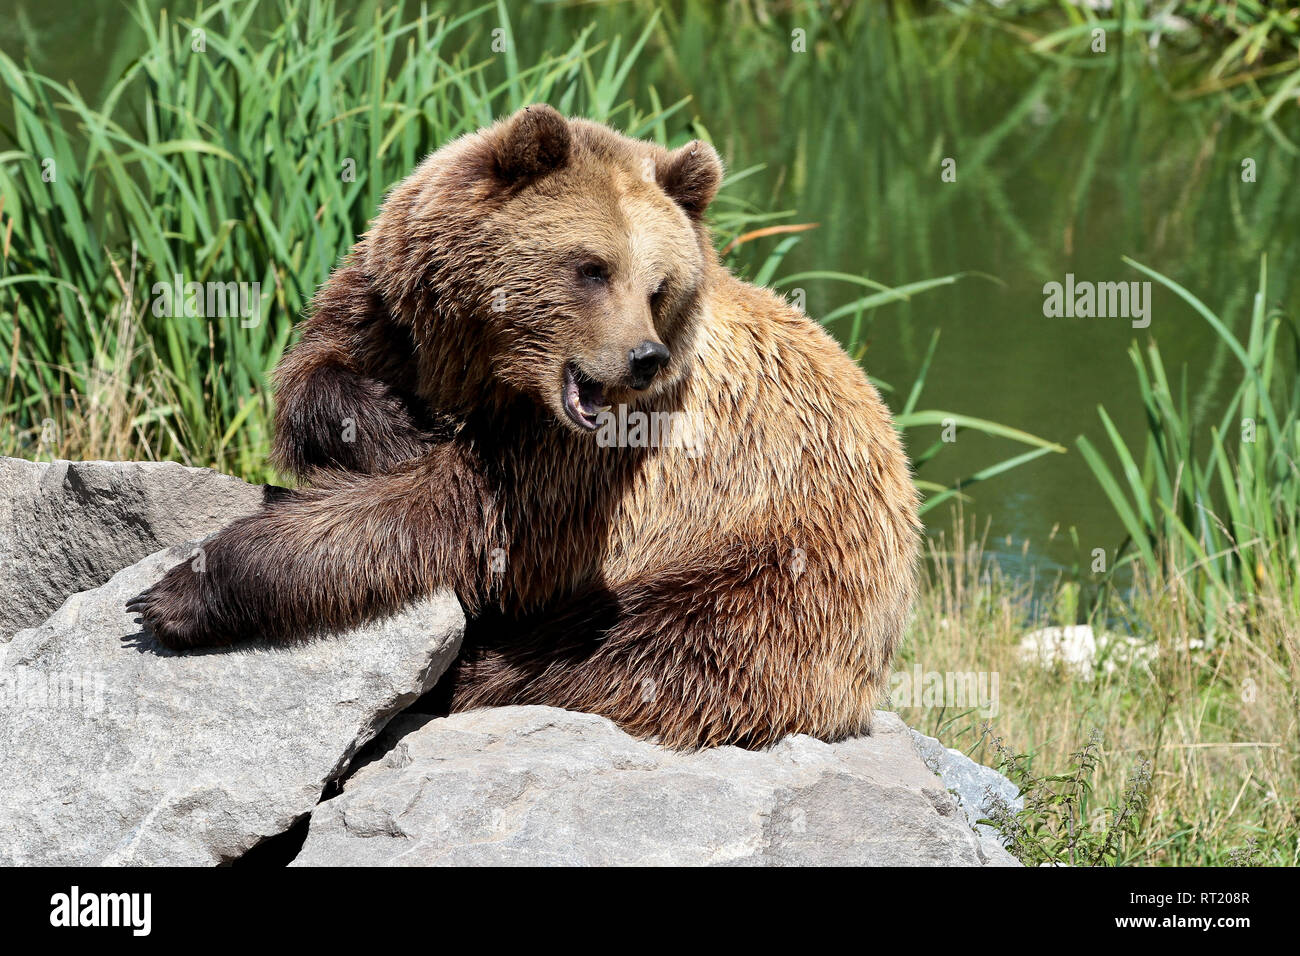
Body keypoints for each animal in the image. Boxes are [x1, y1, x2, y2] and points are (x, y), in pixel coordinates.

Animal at [127, 105, 920, 750]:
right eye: (593, 268)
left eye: (659, 285)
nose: (644, 358)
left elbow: (456, 518)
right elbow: (318, 376)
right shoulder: (389, 315)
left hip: (775, 563)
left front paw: (178, 592)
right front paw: (393, 428)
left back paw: (476, 673)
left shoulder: (597, 467)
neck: (493, 369)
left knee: (648, 653)